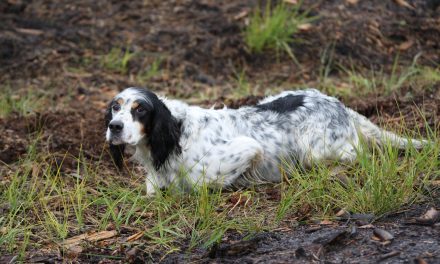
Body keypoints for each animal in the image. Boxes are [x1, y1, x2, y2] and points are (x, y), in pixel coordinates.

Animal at [105, 87, 424, 195]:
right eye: (116, 107)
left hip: (316, 152)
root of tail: (340, 104)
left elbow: (200, 183)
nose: (114, 126)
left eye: (140, 110)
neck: (175, 135)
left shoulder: (249, 148)